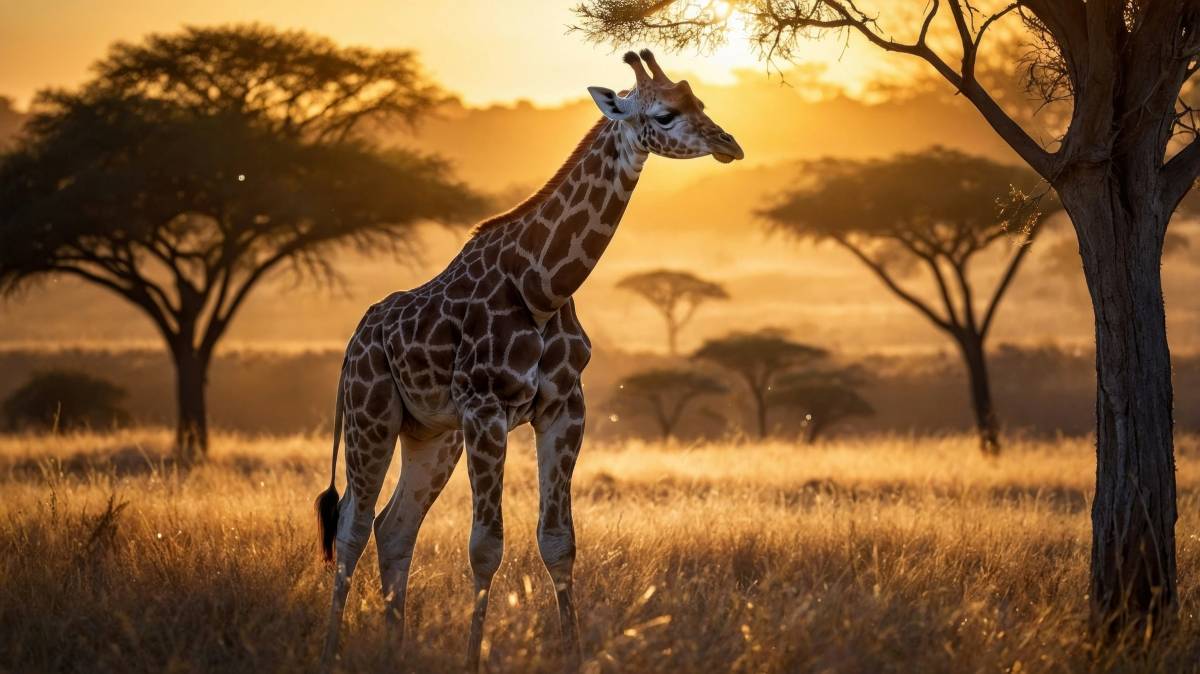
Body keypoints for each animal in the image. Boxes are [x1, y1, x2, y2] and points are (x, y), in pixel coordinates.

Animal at [314, 49, 743, 672]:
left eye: (700, 102)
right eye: (664, 114)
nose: (729, 143)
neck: (542, 287)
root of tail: (353, 342)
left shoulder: (564, 408)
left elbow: (558, 542)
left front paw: (574, 654)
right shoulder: (486, 408)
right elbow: (485, 547)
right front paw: (473, 660)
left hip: (432, 435)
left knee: (394, 527)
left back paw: (395, 651)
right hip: (370, 414)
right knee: (352, 524)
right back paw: (329, 652)